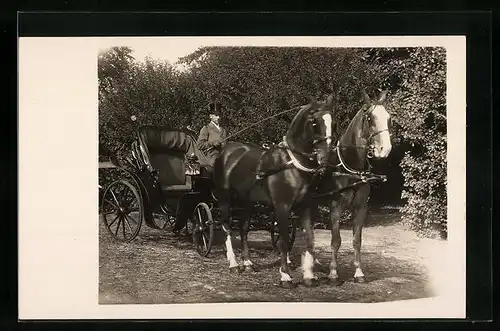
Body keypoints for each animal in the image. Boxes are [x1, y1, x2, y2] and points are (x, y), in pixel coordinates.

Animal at [212, 95, 336, 288]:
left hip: (247, 201)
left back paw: (247, 262)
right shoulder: (282, 207)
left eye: (333, 122)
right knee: (226, 226)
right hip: (225, 198)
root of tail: (226, 150)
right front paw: (285, 276)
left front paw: (309, 275)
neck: (291, 165)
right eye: (315, 122)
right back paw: (233, 264)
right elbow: (283, 240)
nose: (326, 157)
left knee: (244, 228)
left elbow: (309, 238)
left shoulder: (306, 206)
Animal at [316, 89, 394, 286]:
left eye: (389, 118)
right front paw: (333, 274)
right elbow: (336, 240)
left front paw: (359, 272)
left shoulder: (361, 208)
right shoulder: (335, 207)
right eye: (370, 118)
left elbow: (357, 240)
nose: (385, 149)